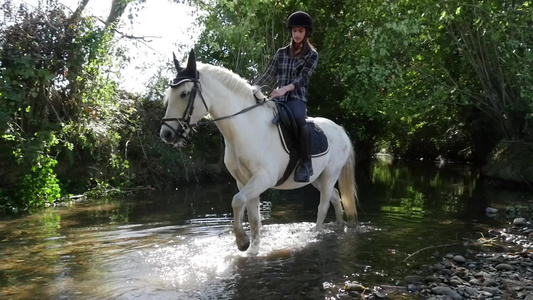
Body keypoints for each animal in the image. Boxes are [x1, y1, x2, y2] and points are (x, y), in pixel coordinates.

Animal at [159, 50, 358, 252]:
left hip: (330, 174)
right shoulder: (244, 181)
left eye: (184, 94)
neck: (245, 129)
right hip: (317, 177)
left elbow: (237, 201)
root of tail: (341, 130)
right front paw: (252, 248)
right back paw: (339, 226)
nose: (166, 134)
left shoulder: (263, 178)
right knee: (335, 197)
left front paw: (242, 242)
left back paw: (314, 236)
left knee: (323, 206)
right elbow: (253, 218)